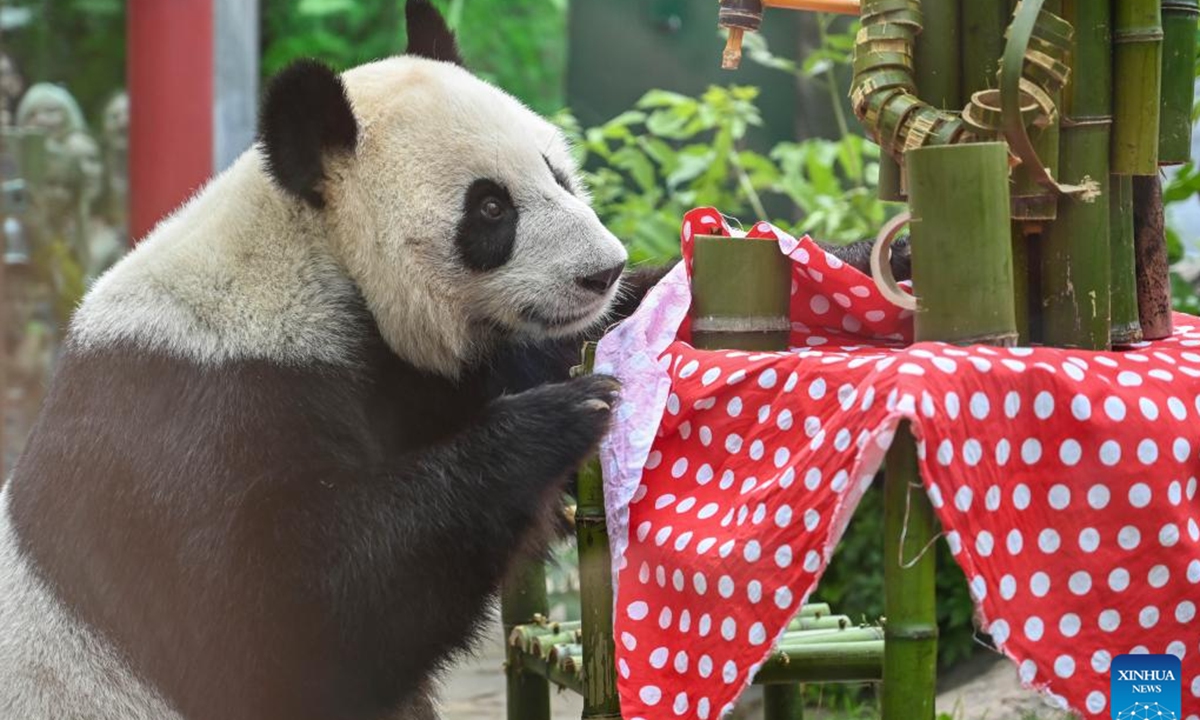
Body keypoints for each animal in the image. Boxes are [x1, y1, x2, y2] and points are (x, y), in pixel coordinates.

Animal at [0, 3, 631, 719]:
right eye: (491, 207)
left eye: (557, 172)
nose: (605, 272)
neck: (311, 250)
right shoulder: (191, 417)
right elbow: (292, 617)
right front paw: (563, 415)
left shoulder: (403, 378)